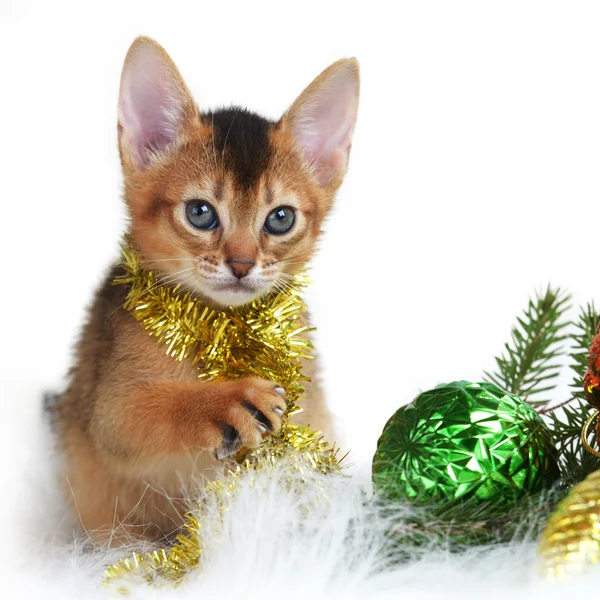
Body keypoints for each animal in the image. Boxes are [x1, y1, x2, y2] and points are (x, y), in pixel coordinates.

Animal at [56, 36, 358, 544]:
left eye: (281, 218)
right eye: (200, 213)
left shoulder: (311, 408)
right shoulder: (109, 410)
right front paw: (228, 402)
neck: (225, 329)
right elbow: (152, 411)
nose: (241, 264)